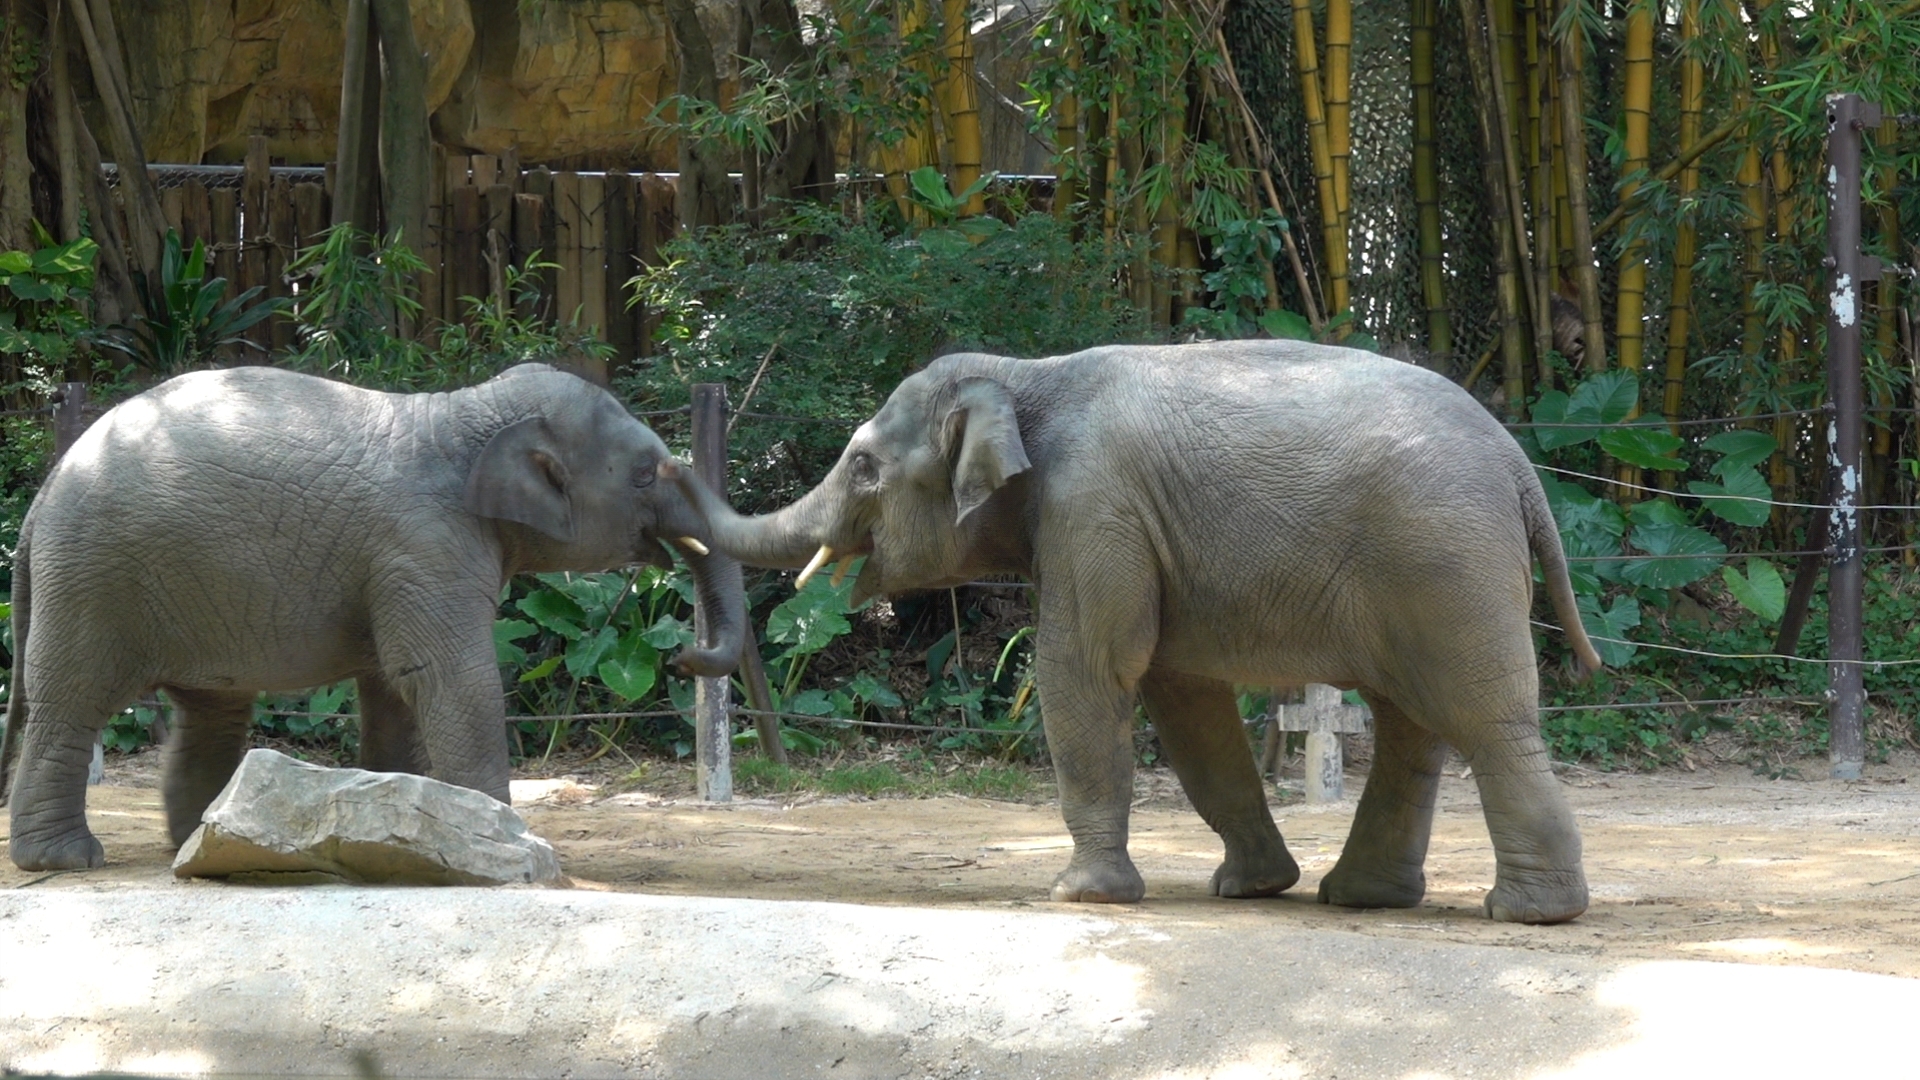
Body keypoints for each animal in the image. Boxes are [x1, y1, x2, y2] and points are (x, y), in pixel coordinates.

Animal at [1, 361, 741, 864]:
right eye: (643, 475)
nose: (681, 656)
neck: (467, 412)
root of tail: (44, 493)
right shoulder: (426, 546)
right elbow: (449, 680)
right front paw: (506, 847)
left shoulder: (405, 564)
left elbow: (395, 688)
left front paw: (405, 836)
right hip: (93, 580)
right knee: (72, 701)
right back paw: (65, 860)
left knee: (210, 710)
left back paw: (197, 842)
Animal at [672, 340, 1605, 922]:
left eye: (864, 465)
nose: (681, 654)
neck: (1025, 374)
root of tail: (1520, 464)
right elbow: (1184, 702)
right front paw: (1251, 888)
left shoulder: (1094, 506)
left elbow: (1085, 674)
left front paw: (1078, 897)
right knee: (1411, 724)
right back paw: (1363, 898)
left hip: (1444, 563)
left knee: (1484, 719)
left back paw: (1530, 912)